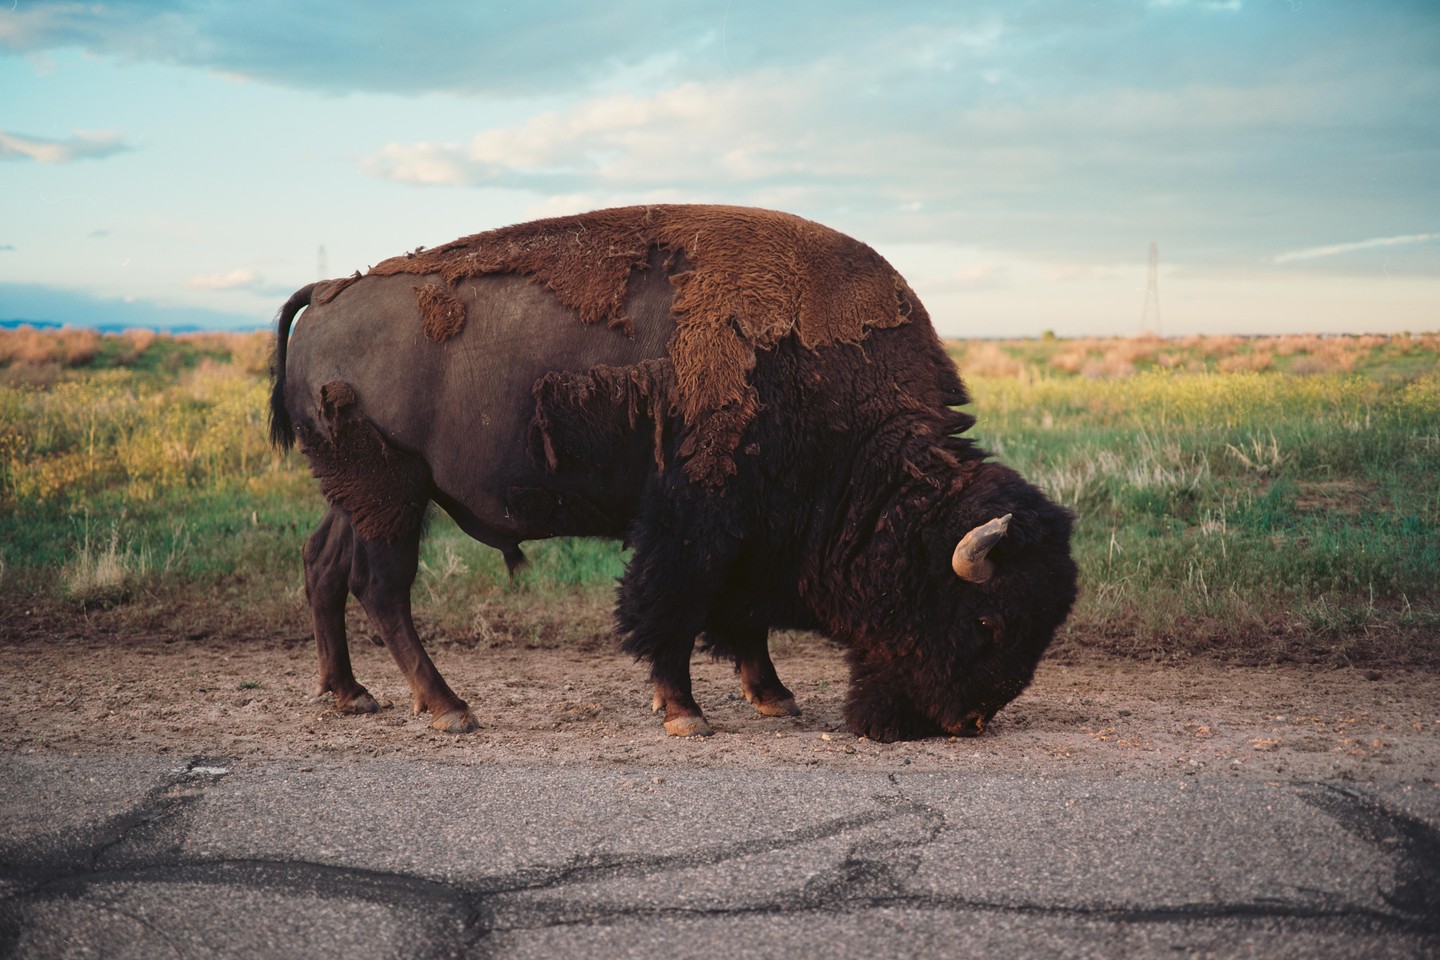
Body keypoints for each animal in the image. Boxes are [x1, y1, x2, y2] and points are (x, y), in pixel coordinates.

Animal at [269, 205, 1077, 741]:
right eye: (986, 619)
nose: (964, 720)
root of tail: (329, 291)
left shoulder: (748, 534)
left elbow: (738, 619)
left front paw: (773, 696)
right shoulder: (695, 521)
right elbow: (673, 608)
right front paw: (686, 713)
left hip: (356, 493)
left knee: (323, 564)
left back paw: (348, 694)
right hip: (393, 491)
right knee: (382, 586)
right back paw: (448, 708)